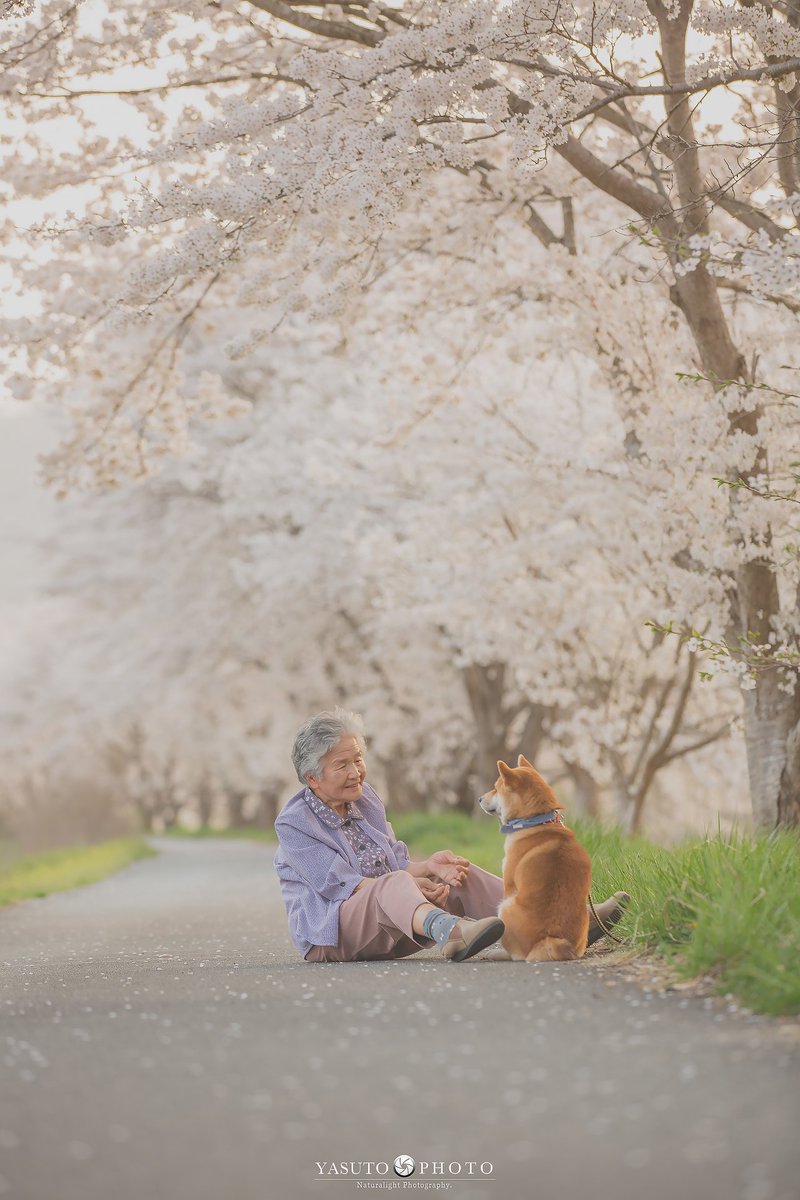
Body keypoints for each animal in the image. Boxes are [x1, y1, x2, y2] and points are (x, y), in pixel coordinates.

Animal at [479, 753, 592, 960]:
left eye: (496, 788)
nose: (479, 798)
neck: (536, 822)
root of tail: (550, 940)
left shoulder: (508, 884)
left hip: (504, 907)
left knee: (517, 955)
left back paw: (498, 953)